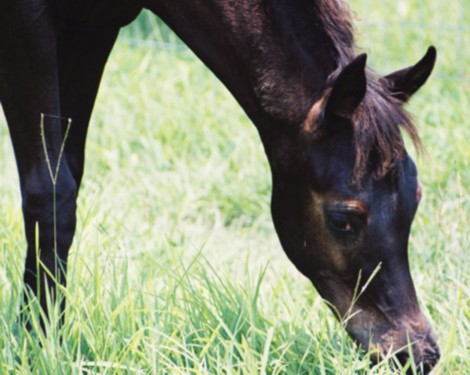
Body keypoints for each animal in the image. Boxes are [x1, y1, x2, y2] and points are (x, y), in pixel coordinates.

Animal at [0, 0, 440, 374]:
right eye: (343, 219)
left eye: (415, 199)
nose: (418, 353)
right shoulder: (27, 23)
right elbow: (50, 192)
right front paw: (38, 346)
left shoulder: (92, 27)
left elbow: (69, 170)